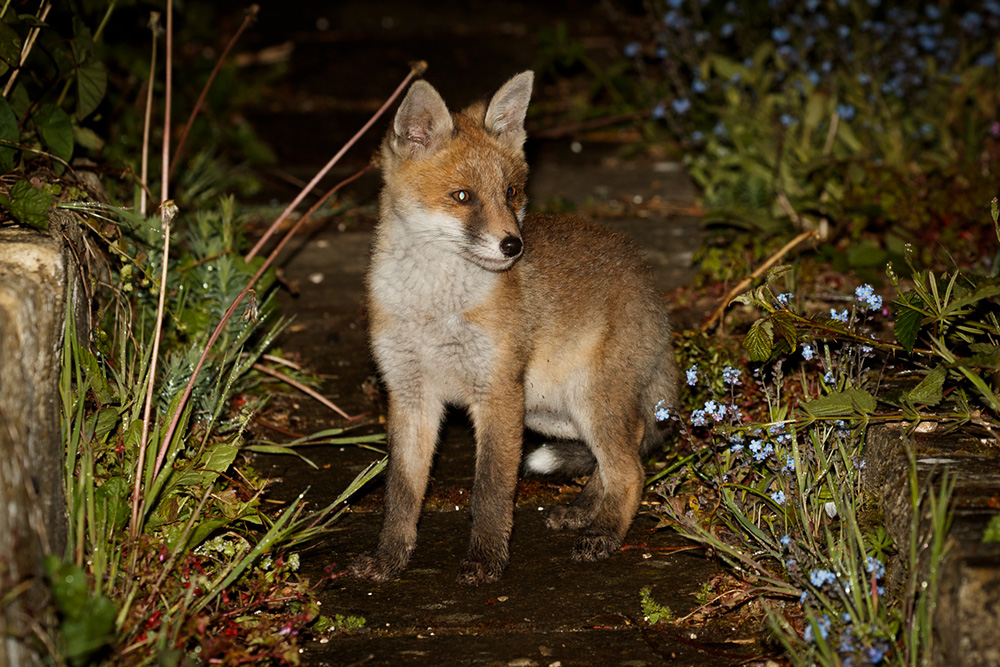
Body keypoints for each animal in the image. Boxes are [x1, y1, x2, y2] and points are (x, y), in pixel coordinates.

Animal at [350, 70, 678, 586]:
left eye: (511, 193)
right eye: (462, 196)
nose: (513, 246)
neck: (434, 309)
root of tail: (649, 283)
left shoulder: (498, 391)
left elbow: (491, 490)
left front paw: (486, 560)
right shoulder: (409, 394)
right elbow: (400, 494)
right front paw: (389, 559)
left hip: (586, 400)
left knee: (631, 469)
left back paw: (604, 533)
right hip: (549, 411)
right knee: (622, 454)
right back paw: (584, 509)